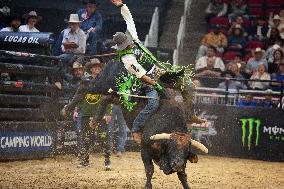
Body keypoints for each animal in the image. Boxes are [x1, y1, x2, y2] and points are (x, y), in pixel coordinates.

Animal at [75, 60, 209, 189]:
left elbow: (183, 176)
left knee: (105, 98)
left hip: (117, 97)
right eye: (172, 146)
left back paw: (94, 120)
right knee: (87, 88)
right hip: (102, 83)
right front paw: (148, 186)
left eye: (186, 149)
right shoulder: (144, 150)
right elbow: (149, 170)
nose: (177, 164)